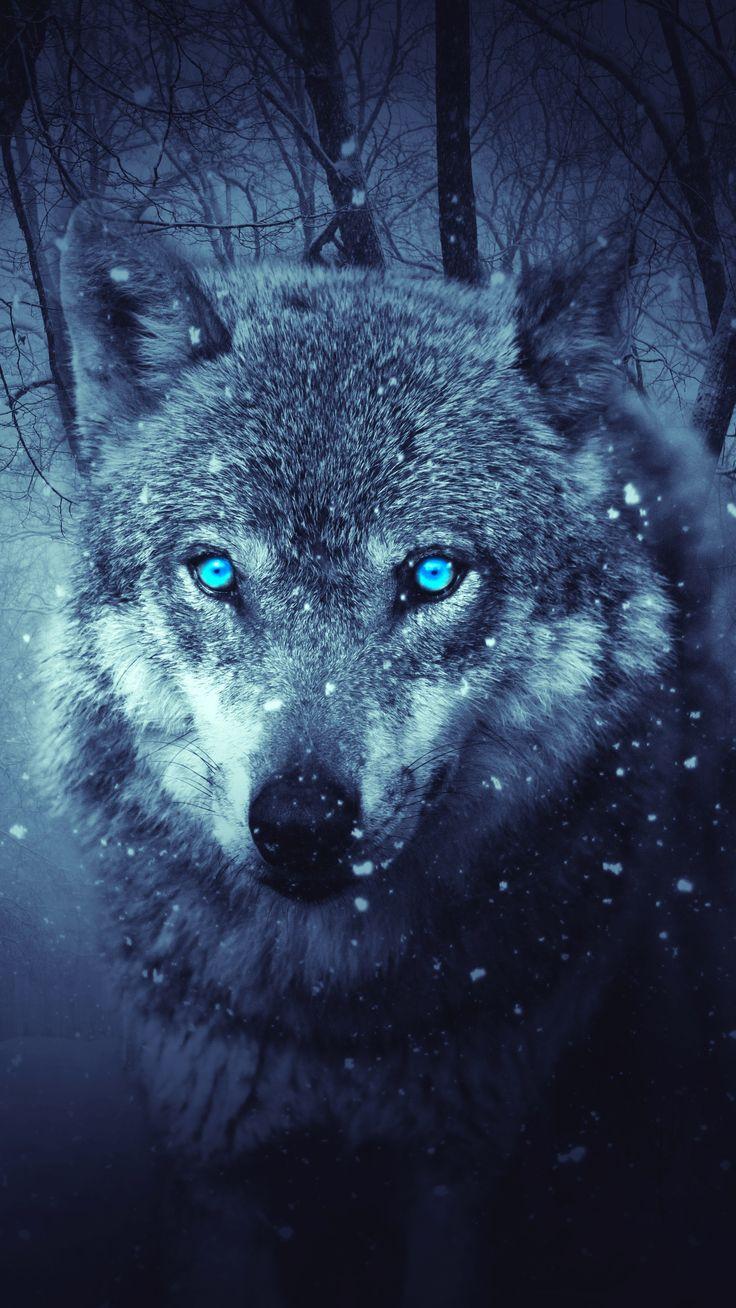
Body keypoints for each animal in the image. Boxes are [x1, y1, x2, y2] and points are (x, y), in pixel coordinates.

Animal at [44, 203, 734, 1306]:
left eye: (433, 574)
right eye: (216, 572)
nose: (301, 824)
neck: (336, 1019)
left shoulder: (461, 1171)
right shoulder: (217, 1169)